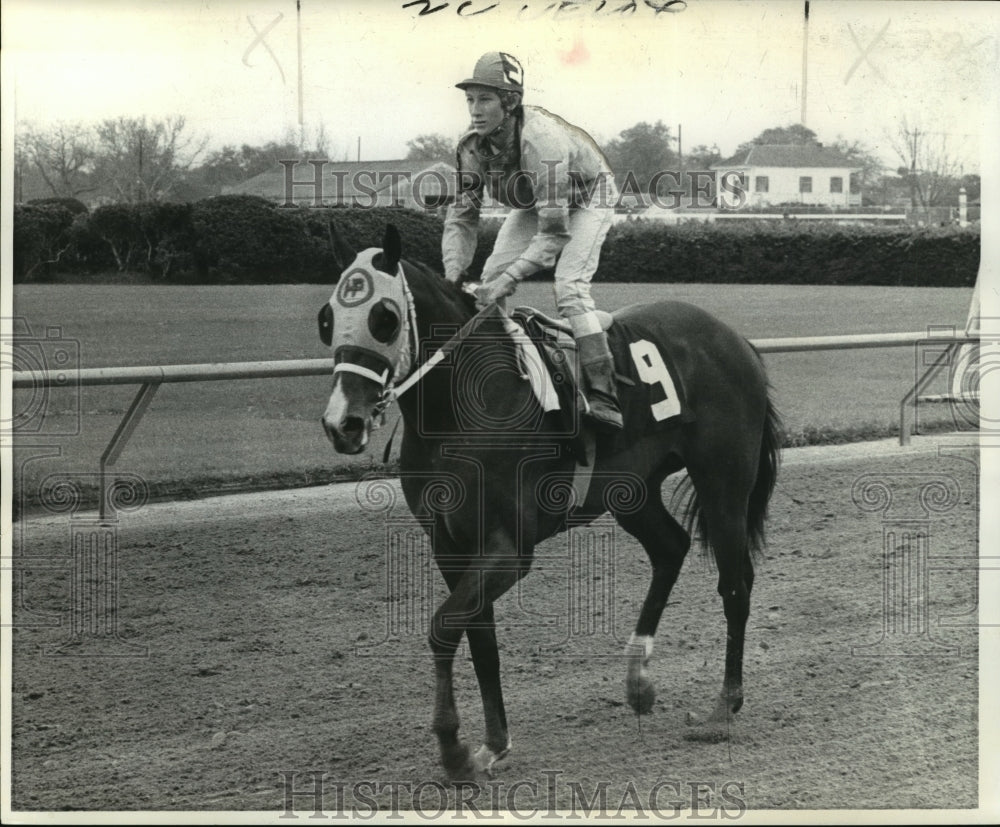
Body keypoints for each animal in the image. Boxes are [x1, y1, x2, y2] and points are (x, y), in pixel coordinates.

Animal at [318, 223, 780, 780]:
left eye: (383, 318)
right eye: (326, 319)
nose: (342, 424)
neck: (461, 405)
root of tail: (735, 339)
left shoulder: (509, 547)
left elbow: (443, 627)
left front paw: (452, 748)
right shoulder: (449, 544)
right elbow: (478, 638)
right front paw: (492, 743)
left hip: (723, 482)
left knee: (735, 583)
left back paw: (722, 709)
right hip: (632, 490)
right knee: (670, 548)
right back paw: (639, 682)